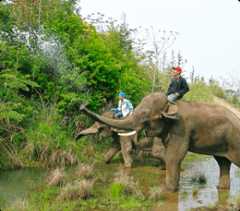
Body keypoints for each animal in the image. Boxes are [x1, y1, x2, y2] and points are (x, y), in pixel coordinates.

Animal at [79, 91, 240, 192]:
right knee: (223, 162)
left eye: (145, 116)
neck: (171, 105)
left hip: (235, 141)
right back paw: (221, 189)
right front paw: (105, 161)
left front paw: (168, 190)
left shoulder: (181, 128)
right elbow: (115, 147)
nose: (82, 105)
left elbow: (173, 156)